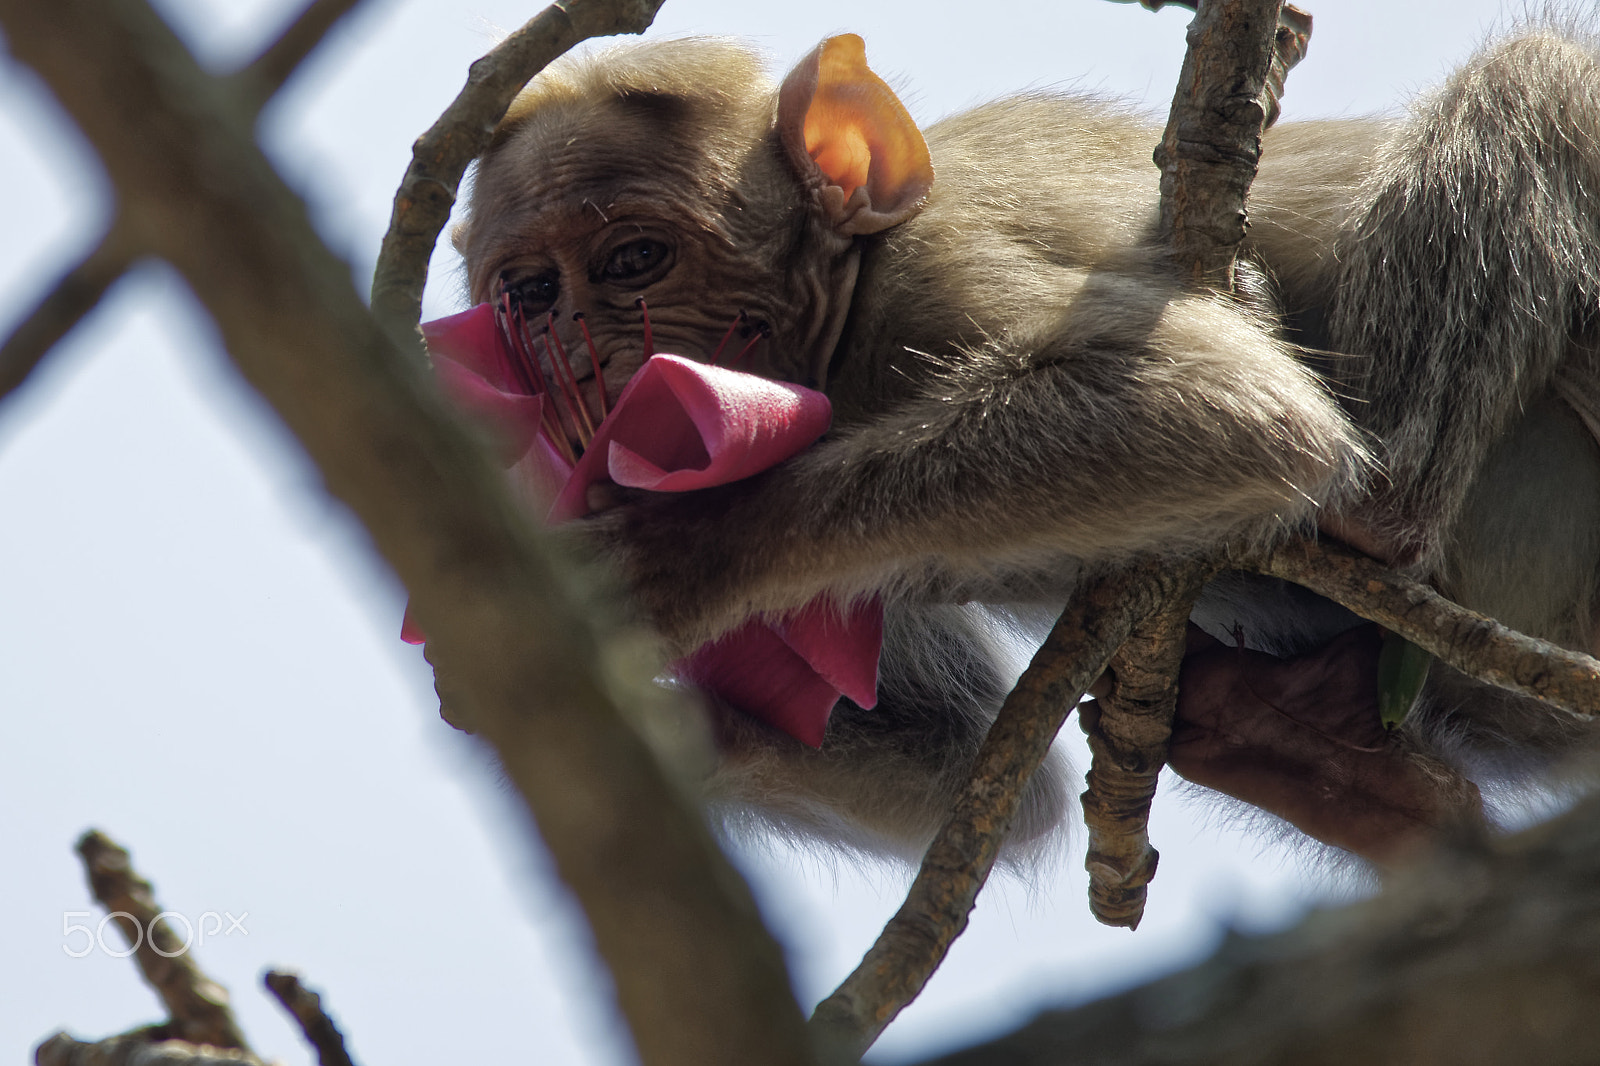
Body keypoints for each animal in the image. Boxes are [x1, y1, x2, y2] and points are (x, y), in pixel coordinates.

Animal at [443, 29, 1600, 865]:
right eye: (529, 292)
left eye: (633, 260)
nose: (574, 356)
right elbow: (970, 774)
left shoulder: (936, 275)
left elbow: (1233, 406)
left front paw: (697, 550)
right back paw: (1323, 756)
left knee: (1538, 79)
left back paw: (1372, 526)